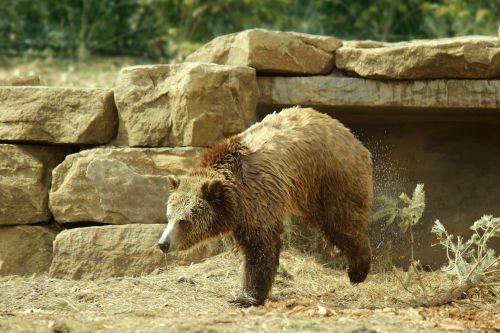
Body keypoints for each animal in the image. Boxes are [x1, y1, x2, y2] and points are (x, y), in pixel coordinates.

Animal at [158, 106, 374, 306]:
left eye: (184, 221)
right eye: (168, 217)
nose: (163, 244)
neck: (234, 200)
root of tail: (350, 135)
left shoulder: (257, 198)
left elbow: (260, 248)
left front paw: (246, 297)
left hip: (331, 176)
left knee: (343, 221)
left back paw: (357, 270)